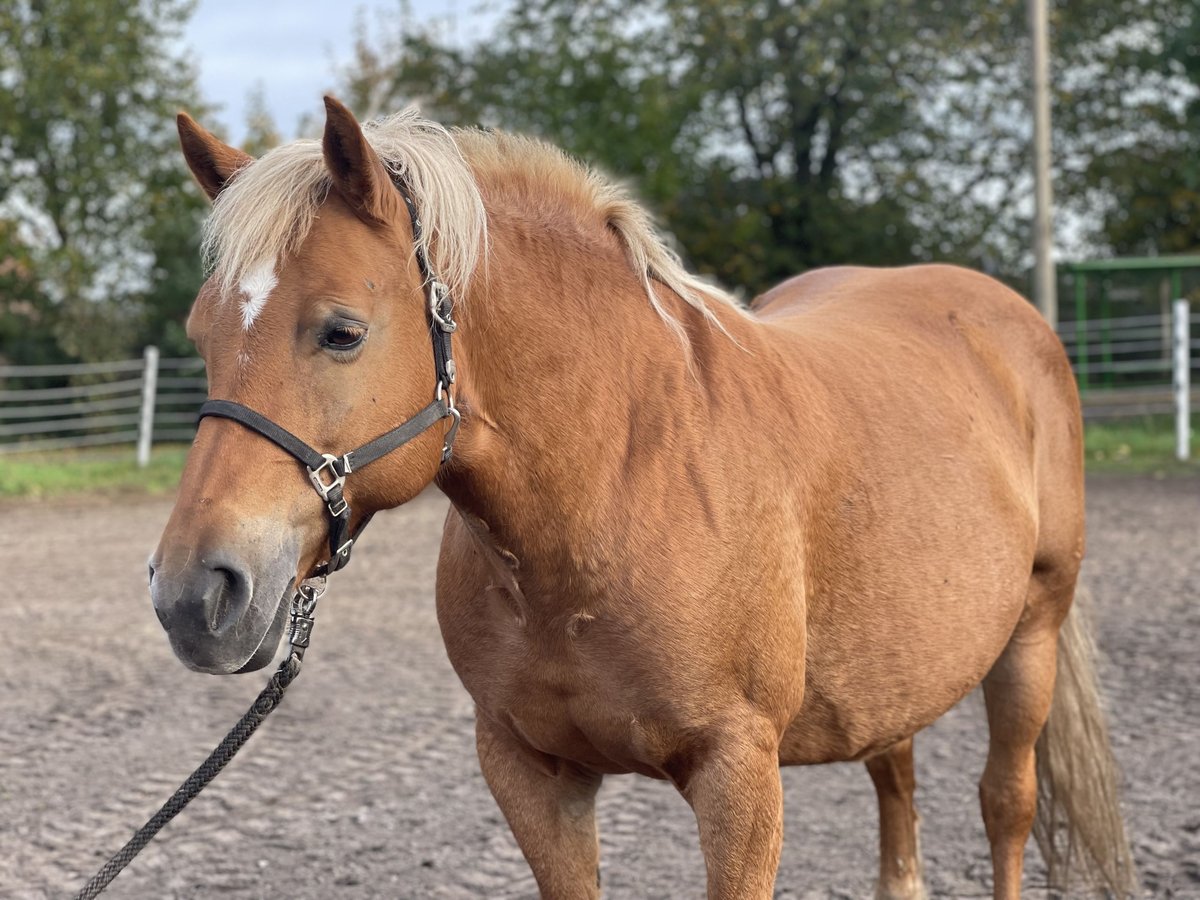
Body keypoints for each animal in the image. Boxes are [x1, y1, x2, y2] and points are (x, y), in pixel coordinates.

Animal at [150, 98, 1132, 900]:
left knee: (1005, 803)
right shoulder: (530, 772)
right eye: (200, 334)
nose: (194, 594)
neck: (614, 488)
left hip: (1032, 632)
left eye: (342, 332)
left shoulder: (741, 778)